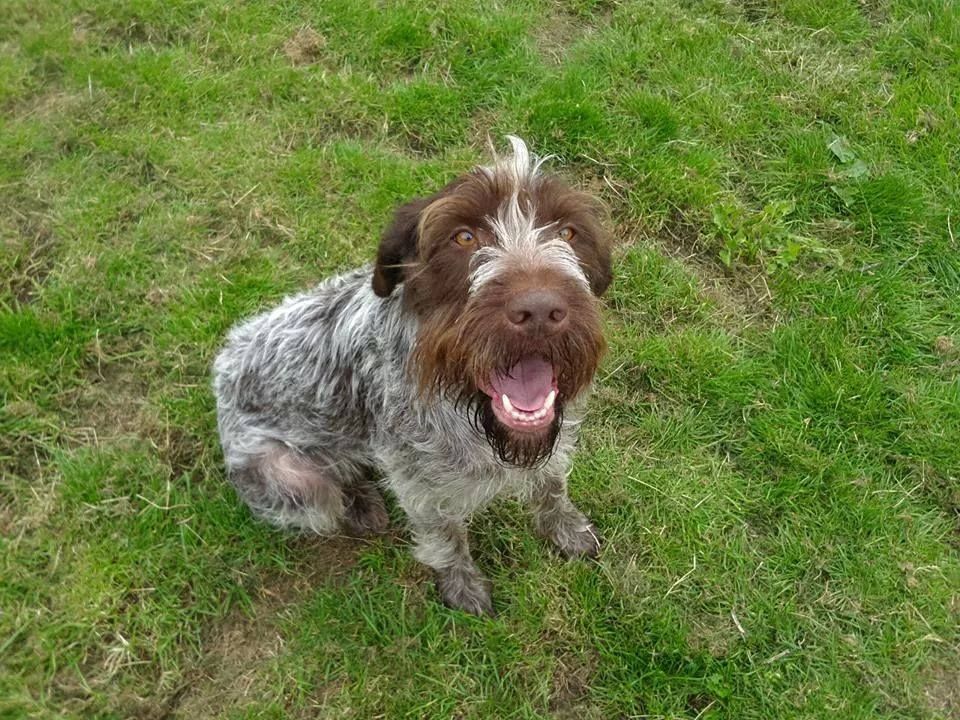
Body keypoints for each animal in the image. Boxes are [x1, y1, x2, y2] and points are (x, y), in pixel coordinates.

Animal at [214, 138, 612, 616]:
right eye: (464, 237)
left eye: (568, 233)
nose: (539, 310)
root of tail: (223, 364)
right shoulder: (420, 484)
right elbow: (445, 538)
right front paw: (461, 585)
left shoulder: (553, 436)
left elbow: (553, 486)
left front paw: (566, 529)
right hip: (294, 482)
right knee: (330, 486)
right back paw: (359, 502)